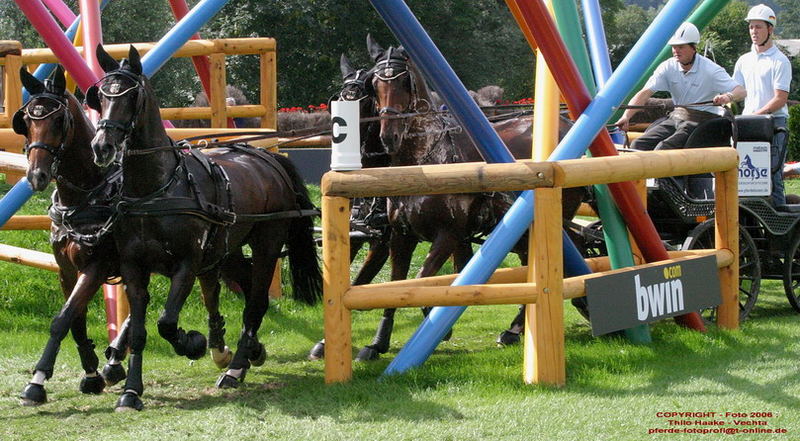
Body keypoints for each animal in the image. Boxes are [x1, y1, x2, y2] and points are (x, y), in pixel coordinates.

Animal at [13, 66, 126, 406]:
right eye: (26, 122)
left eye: (58, 122)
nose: (36, 176)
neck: (85, 198)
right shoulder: (66, 270)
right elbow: (75, 320)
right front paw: (91, 373)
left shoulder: (96, 267)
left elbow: (61, 319)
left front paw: (36, 381)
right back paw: (114, 361)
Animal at [88, 44, 322, 410]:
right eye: (100, 95)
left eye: (131, 95)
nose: (102, 146)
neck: (156, 190)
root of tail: (268, 159)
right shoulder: (134, 267)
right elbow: (139, 331)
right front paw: (131, 390)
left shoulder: (187, 264)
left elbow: (167, 324)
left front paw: (193, 343)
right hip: (228, 251)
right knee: (248, 286)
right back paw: (252, 351)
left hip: (266, 244)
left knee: (256, 302)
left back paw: (236, 367)